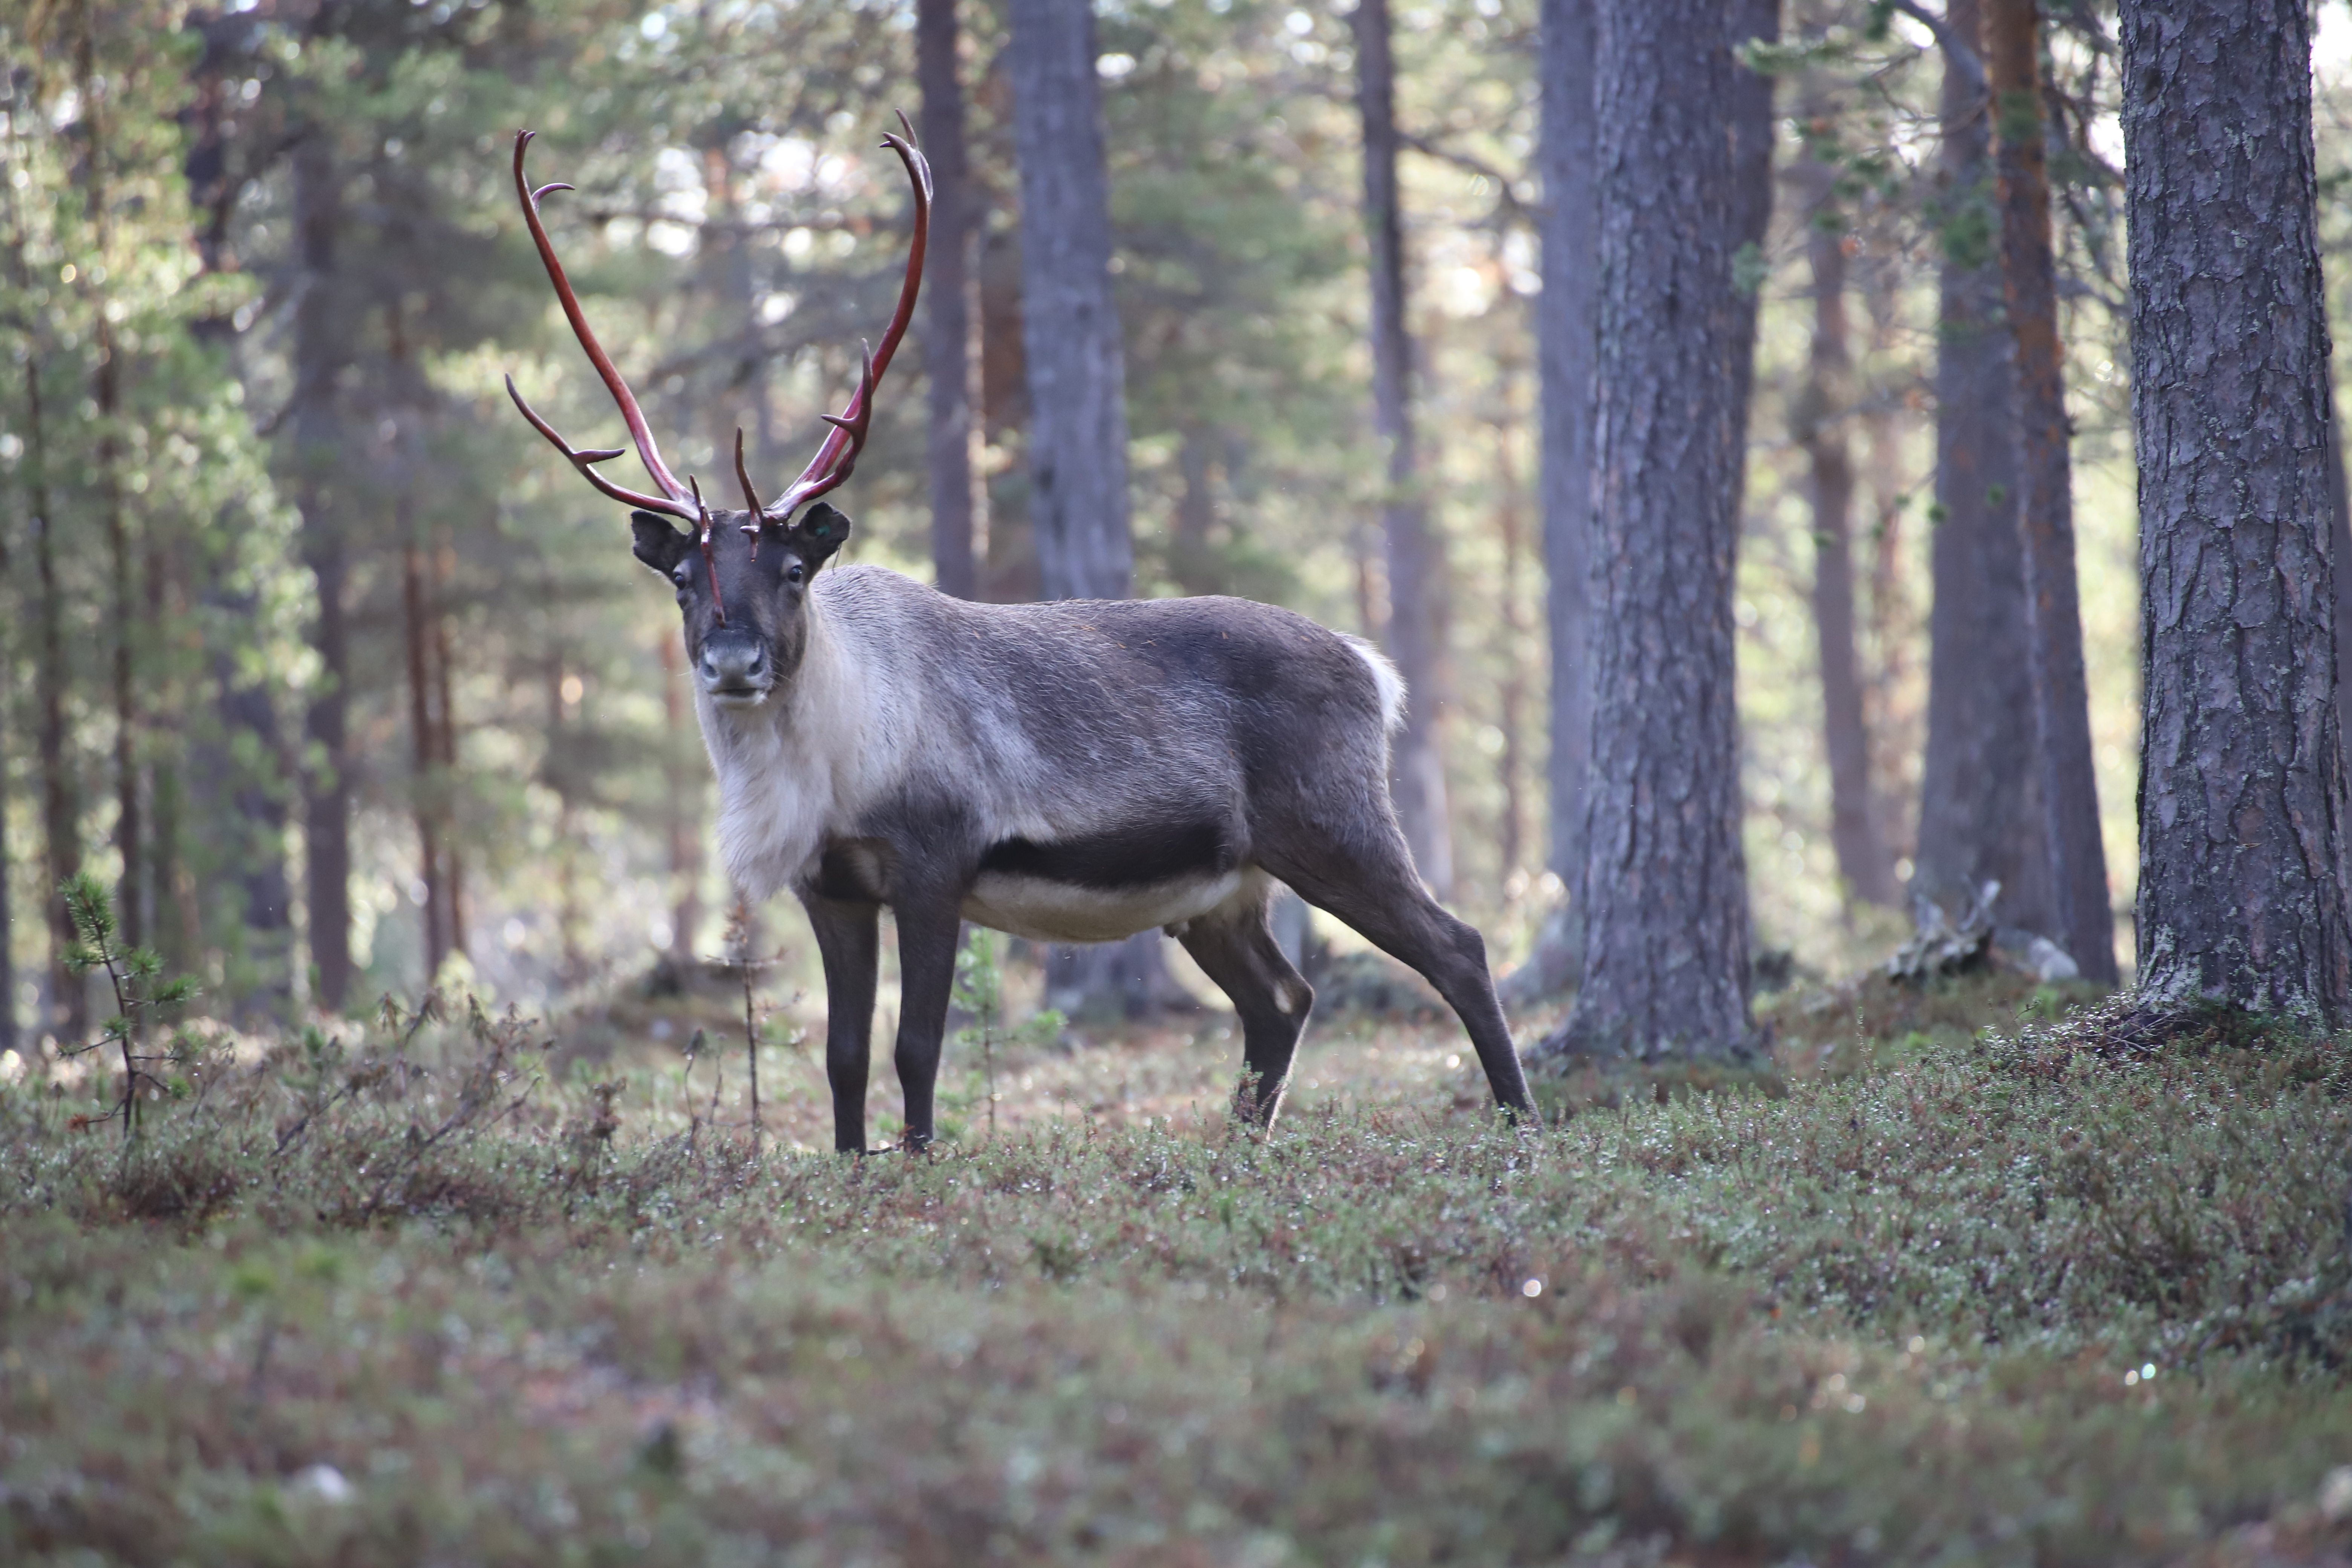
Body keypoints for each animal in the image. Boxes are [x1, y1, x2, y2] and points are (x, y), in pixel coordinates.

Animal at [504, 124, 1538, 1152]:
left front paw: (919, 1166)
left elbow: (916, 1048)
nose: (732, 662)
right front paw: (851, 1171)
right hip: (1219, 891)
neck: (832, 762)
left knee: (1457, 947)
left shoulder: (932, 865)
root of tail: (1374, 668)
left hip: (1333, 826)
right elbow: (845, 1058)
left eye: (793, 571)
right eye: (683, 580)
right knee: (1282, 997)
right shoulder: (830, 888)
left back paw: (1519, 1125)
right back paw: (1242, 1146)